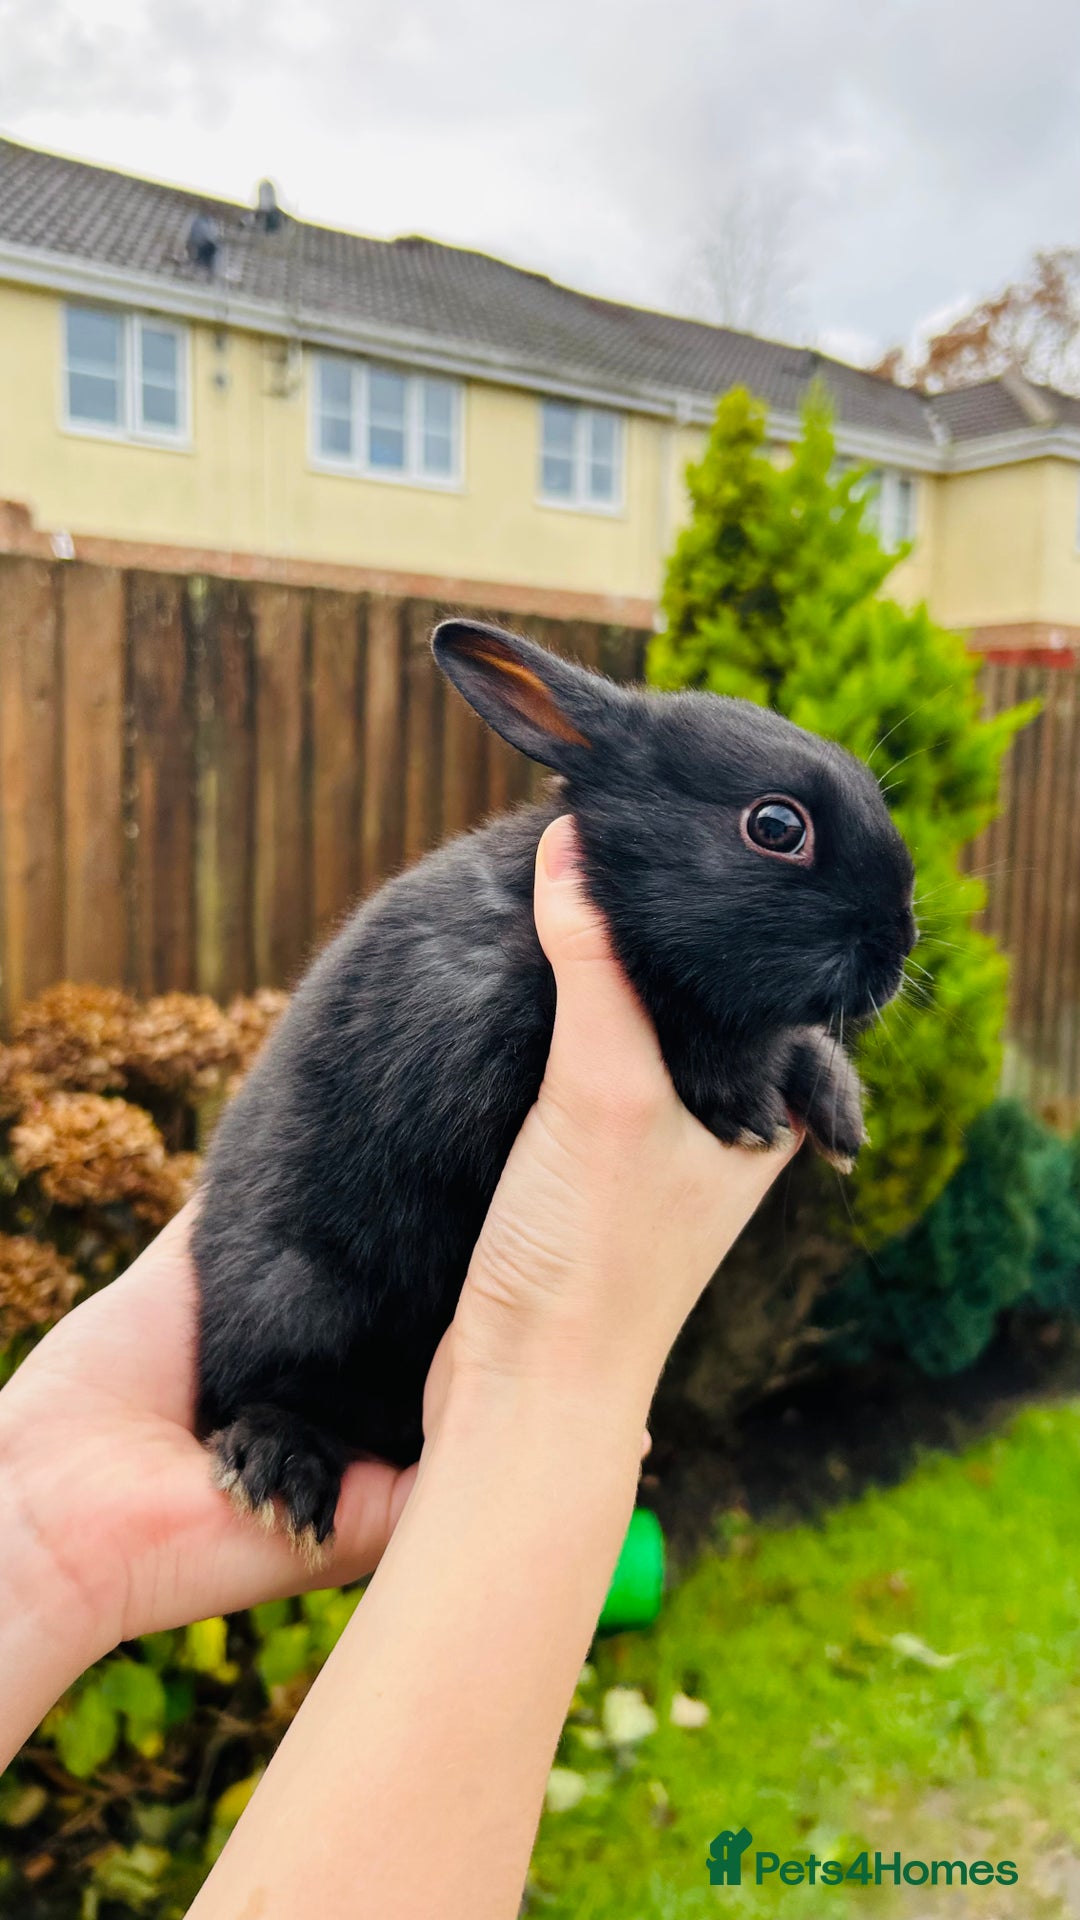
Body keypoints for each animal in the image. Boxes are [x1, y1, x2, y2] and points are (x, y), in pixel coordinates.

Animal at [193, 619, 916, 1556]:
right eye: (777, 826)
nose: (900, 945)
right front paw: (747, 1105)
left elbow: (792, 1043)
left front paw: (840, 1115)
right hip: (294, 1301)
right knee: (262, 1392)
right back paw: (279, 1469)